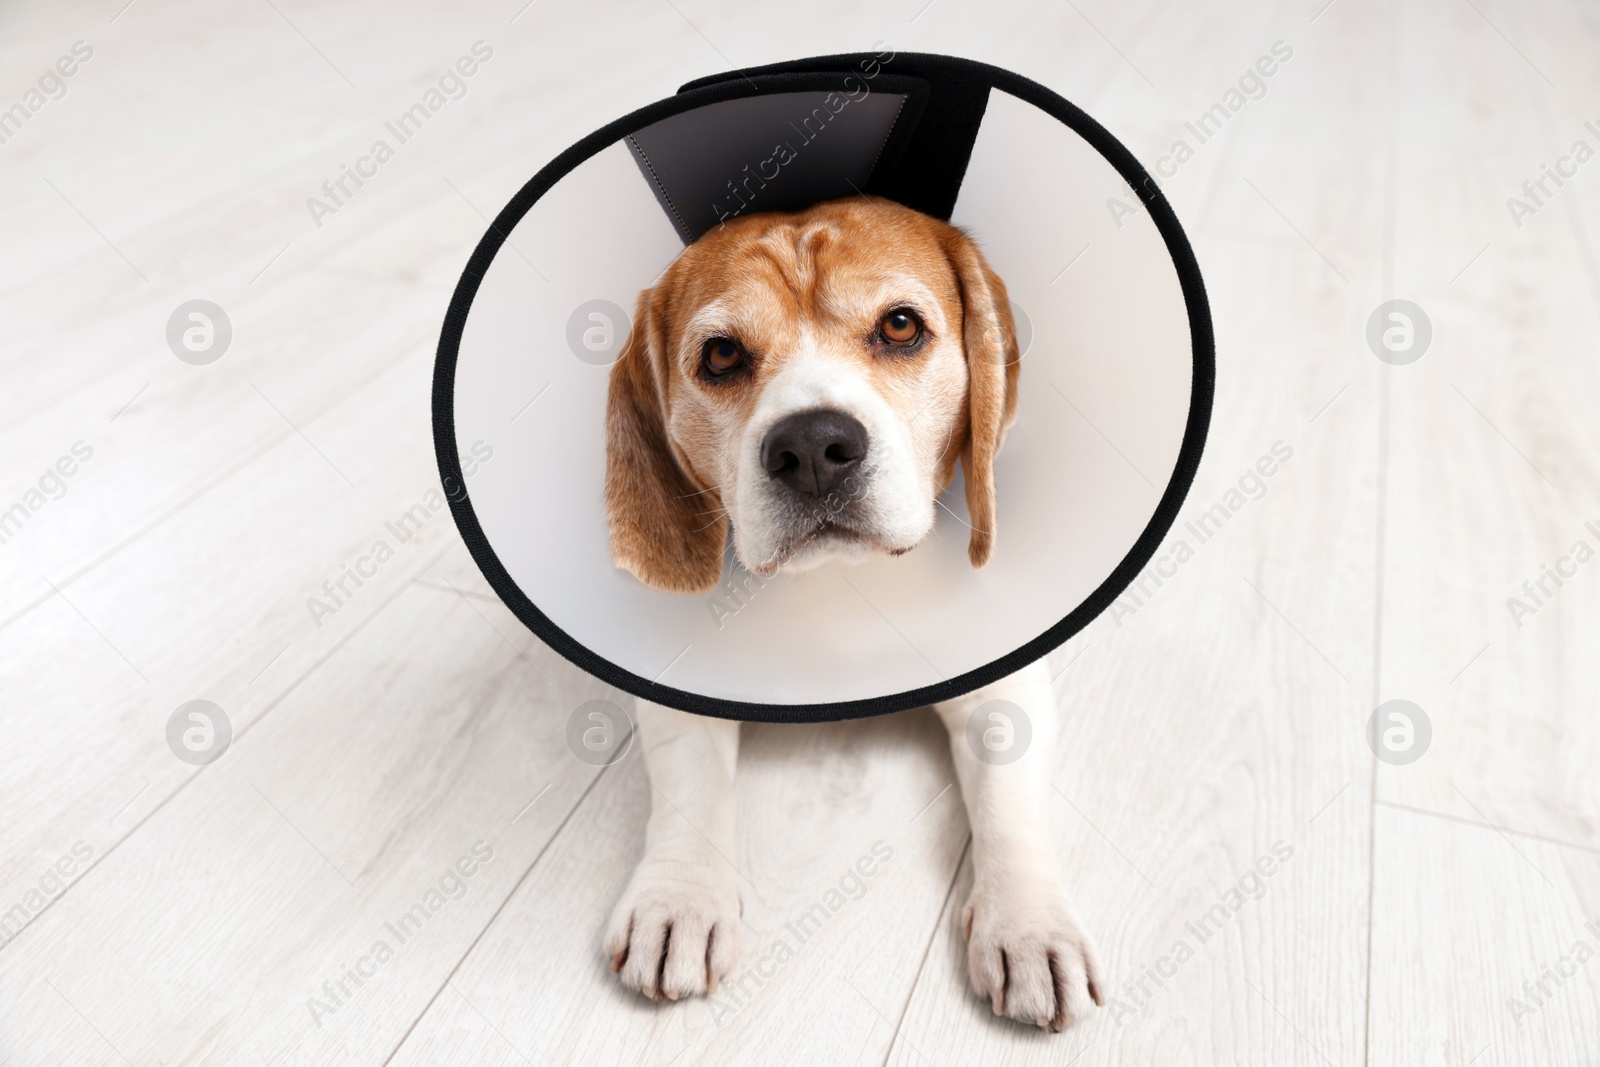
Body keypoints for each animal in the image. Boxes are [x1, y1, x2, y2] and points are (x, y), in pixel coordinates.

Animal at [601, 195, 1100, 1030]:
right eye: (722, 355)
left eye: (899, 326)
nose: (811, 445)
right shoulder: (678, 692)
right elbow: (690, 776)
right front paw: (679, 897)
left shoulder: (1009, 681)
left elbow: (1008, 800)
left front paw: (1030, 927)